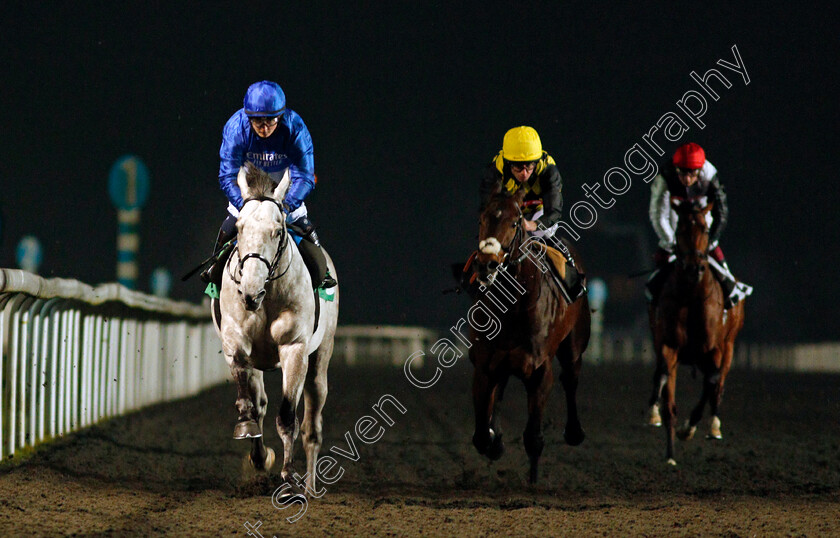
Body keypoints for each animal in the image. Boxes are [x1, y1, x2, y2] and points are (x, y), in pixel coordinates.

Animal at [215, 163, 340, 494]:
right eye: (239, 228)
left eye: (277, 230)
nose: (250, 292)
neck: (267, 298)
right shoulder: (235, 344)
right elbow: (249, 402)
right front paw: (255, 446)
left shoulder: (294, 348)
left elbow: (287, 416)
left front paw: (288, 473)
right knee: (260, 402)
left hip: (321, 355)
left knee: (312, 420)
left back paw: (309, 486)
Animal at [466, 184, 592, 482]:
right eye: (481, 220)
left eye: (515, 222)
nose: (486, 265)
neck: (512, 307)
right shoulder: (485, 364)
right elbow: (481, 435)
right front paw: (494, 440)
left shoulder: (539, 369)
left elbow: (534, 436)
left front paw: (533, 477)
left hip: (574, 343)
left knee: (571, 378)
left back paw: (574, 432)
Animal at [648, 199, 744, 462]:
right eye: (680, 229)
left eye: (704, 228)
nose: (693, 267)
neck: (691, 297)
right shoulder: (669, 346)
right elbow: (667, 392)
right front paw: (670, 453)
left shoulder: (714, 349)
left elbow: (712, 382)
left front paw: (689, 428)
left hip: (728, 347)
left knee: (717, 386)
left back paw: (714, 426)